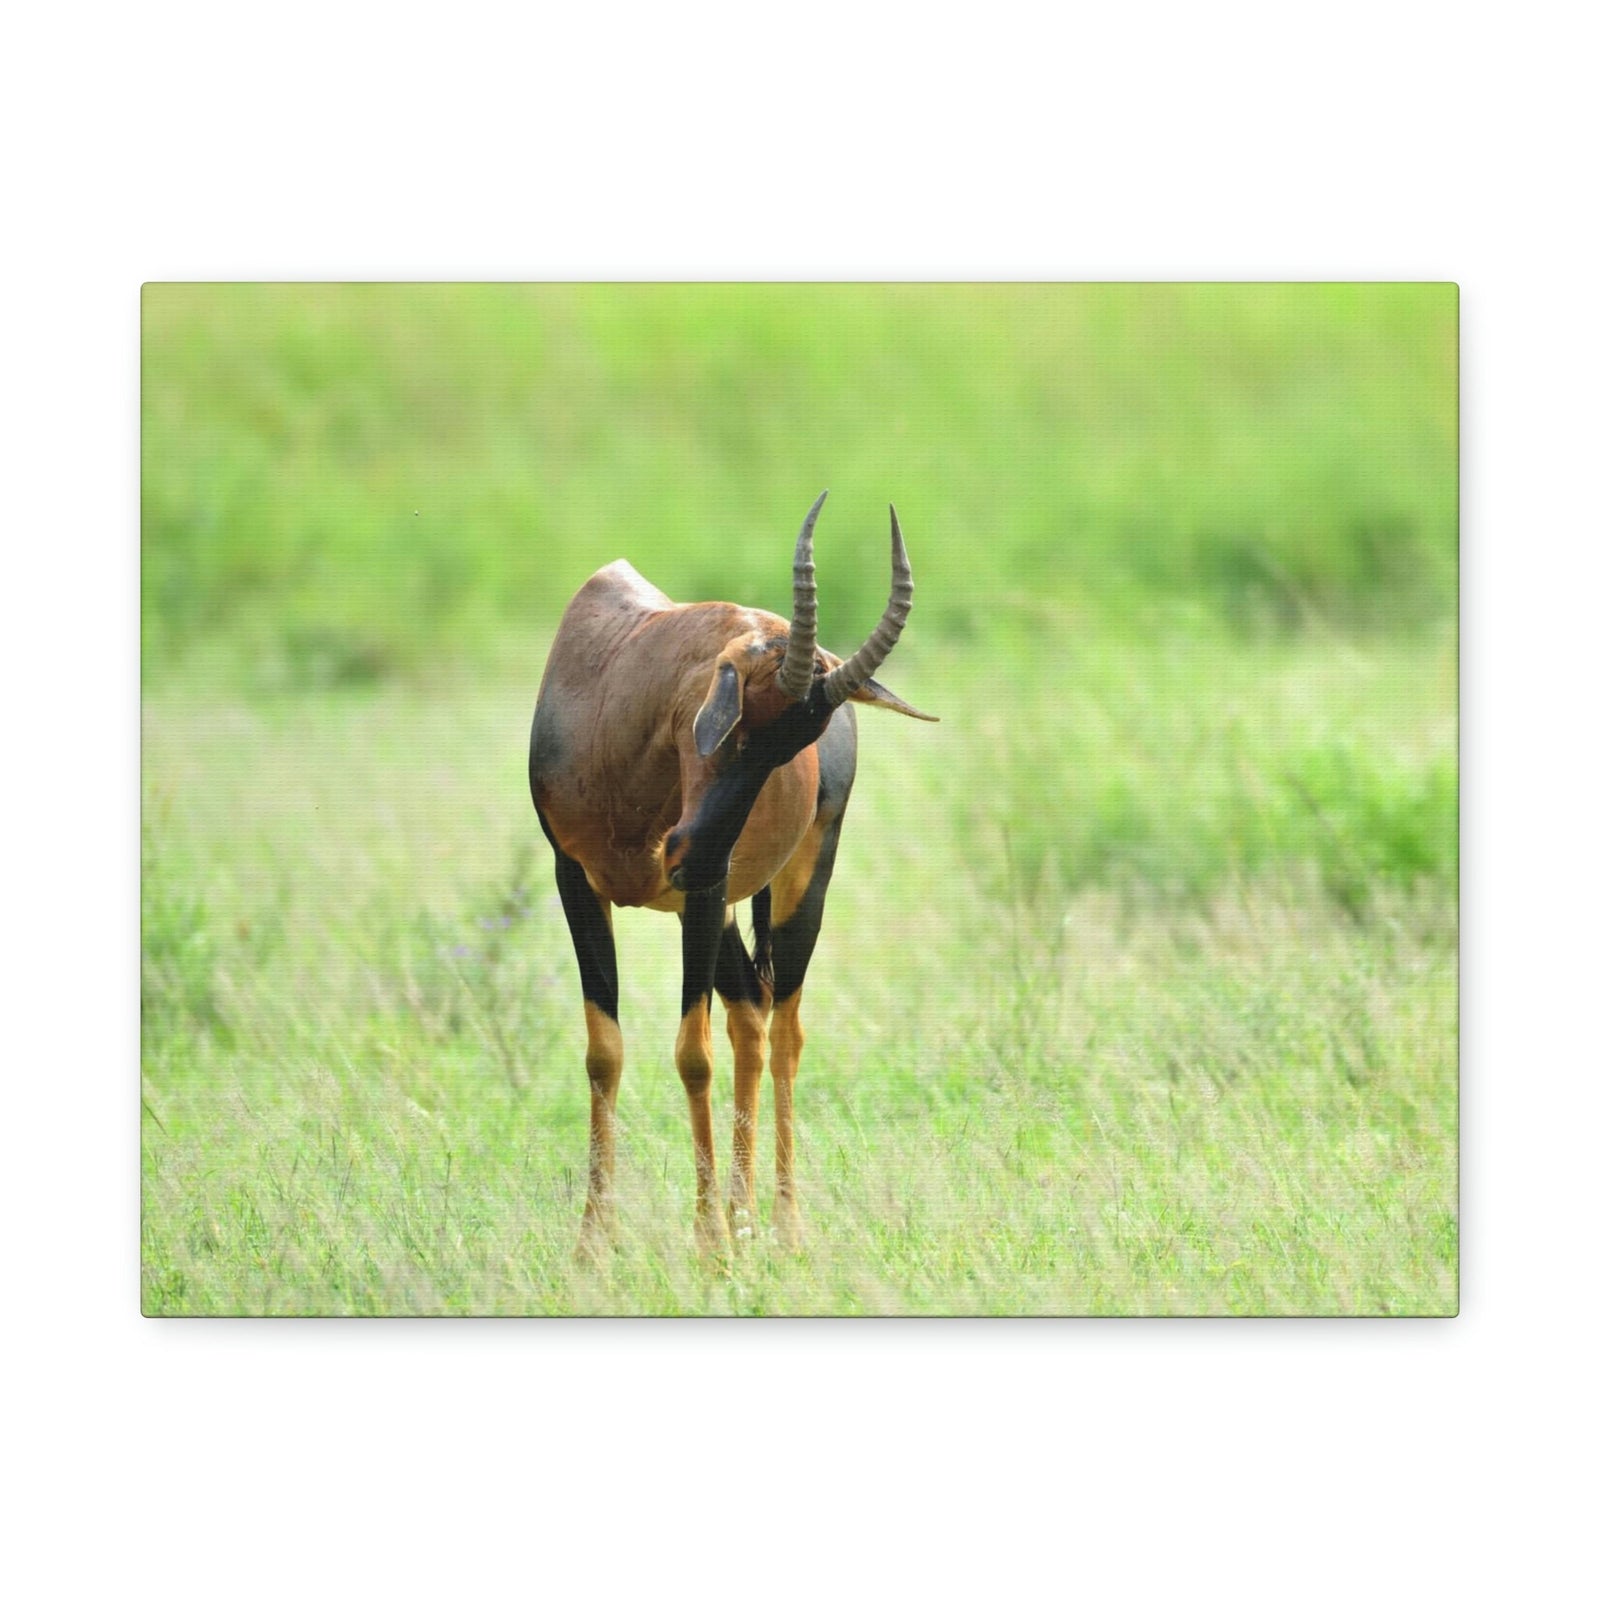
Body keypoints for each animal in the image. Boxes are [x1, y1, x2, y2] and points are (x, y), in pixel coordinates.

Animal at [528, 492, 933, 1253]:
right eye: (739, 720)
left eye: (796, 746)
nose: (685, 852)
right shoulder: (576, 880)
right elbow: (605, 1050)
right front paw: (594, 1247)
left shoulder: (705, 894)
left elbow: (693, 1054)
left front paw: (708, 1246)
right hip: (715, 911)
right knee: (750, 1014)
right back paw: (745, 1221)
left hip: (792, 885)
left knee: (785, 1029)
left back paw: (782, 1227)